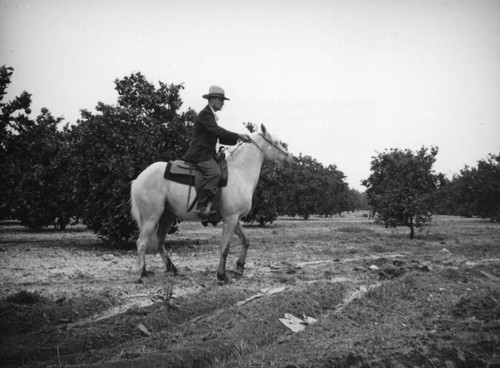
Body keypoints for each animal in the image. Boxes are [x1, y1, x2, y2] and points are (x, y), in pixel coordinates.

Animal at [131, 125, 292, 284]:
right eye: (276, 142)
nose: (290, 158)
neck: (239, 173)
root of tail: (138, 179)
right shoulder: (230, 218)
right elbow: (225, 247)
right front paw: (222, 275)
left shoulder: (234, 219)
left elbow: (246, 241)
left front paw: (239, 268)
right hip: (152, 217)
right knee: (141, 243)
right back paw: (142, 274)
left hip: (167, 216)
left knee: (160, 241)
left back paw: (172, 268)